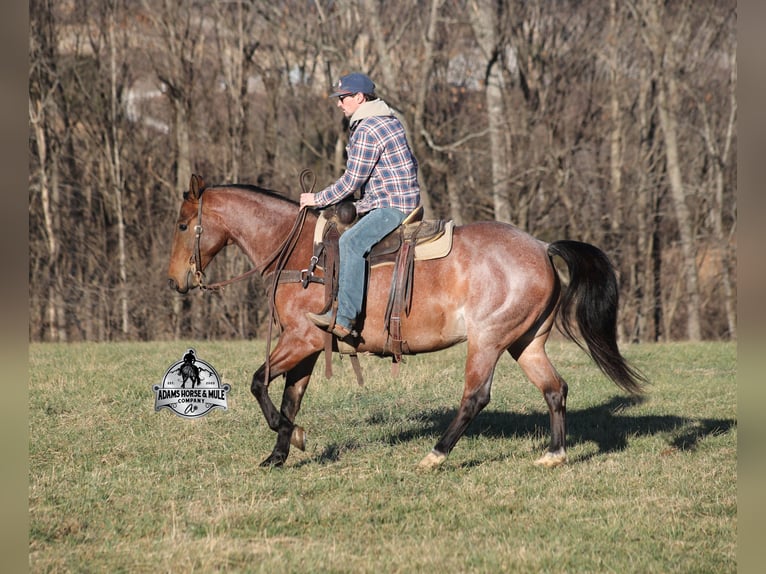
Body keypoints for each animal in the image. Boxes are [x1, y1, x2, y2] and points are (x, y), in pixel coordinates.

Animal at [167, 174, 646, 469]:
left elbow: (257, 382)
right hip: (524, 341)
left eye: (183, 224)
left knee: (476, 397)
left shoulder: (301, 339)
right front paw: (280, 454)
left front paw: (294, 438)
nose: (175, 281)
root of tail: (543, 247)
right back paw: (554, 454)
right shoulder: (308, 345)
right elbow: (288, 398)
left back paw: (435, 455)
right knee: (554, 388)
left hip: (488, 340)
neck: (302, 253)